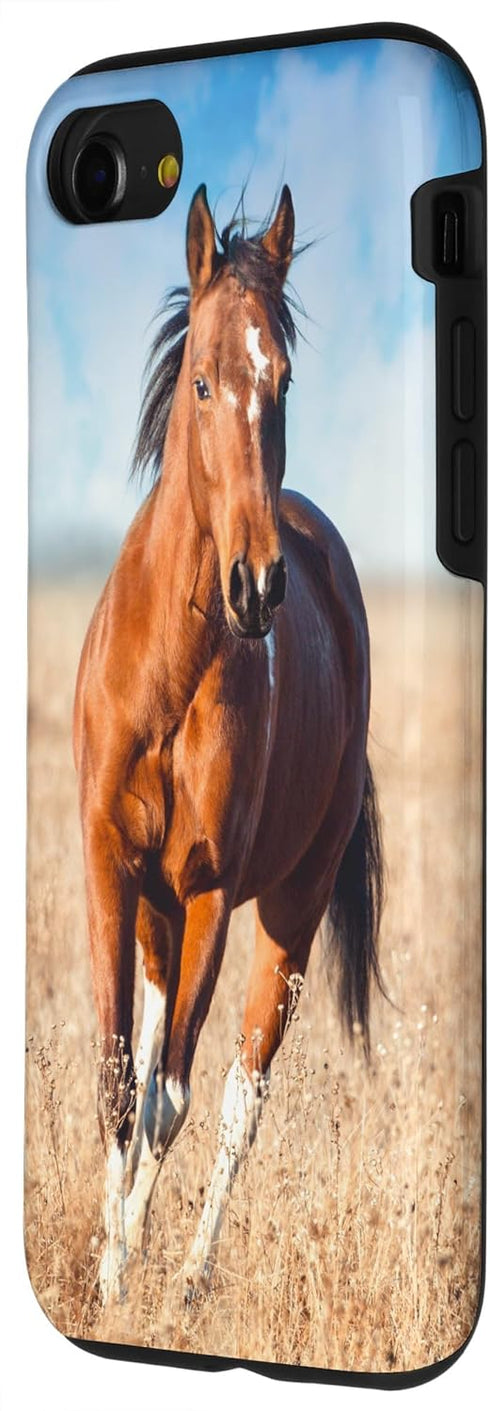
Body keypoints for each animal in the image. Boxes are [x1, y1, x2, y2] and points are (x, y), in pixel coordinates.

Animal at [73, 182, 384, 1304]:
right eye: (202, 380)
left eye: (282, 380)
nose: (256, 586)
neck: (170, 670)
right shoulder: (111, 868)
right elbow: (120, 1077)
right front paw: (106, 1262)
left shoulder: (211, 893)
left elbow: (172, 1100)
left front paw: (126, 1280)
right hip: (159, 914)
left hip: (285, 915)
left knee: (241, 1098)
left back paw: (191, 1277)